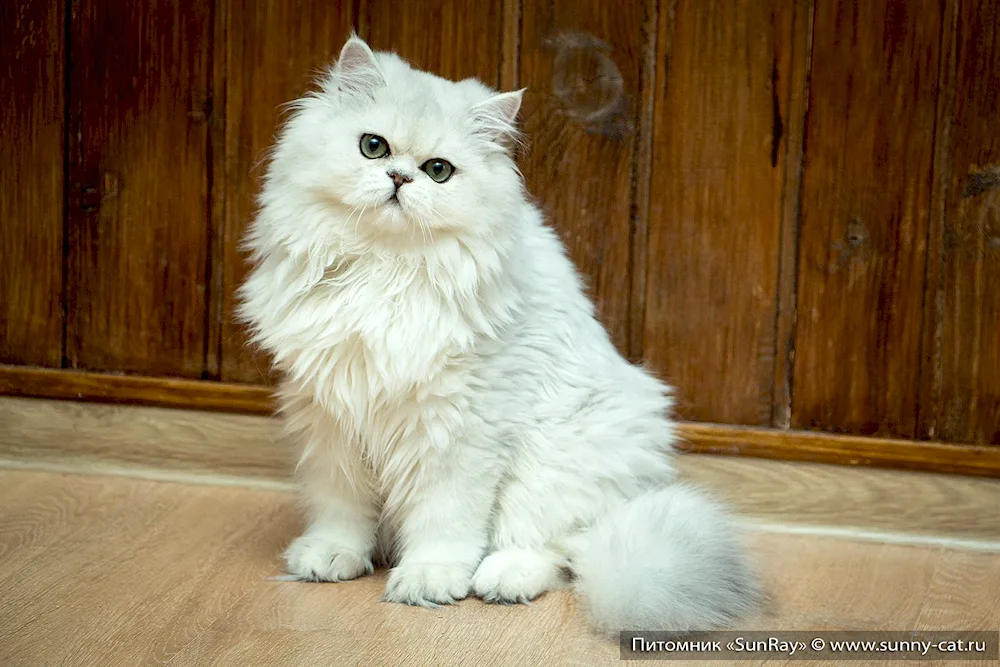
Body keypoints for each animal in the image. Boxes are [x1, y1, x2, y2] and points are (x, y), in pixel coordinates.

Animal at [240, 34, 756, 636]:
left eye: (438, 171)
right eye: (373, 147)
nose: (399, 179)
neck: (384, 273)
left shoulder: (458, 431)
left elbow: (444, 522)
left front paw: (428, 580)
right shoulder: (332, 421)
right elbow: (341, 508)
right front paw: (332, 556)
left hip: (551, 467)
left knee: (552, 550)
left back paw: (500, 581)